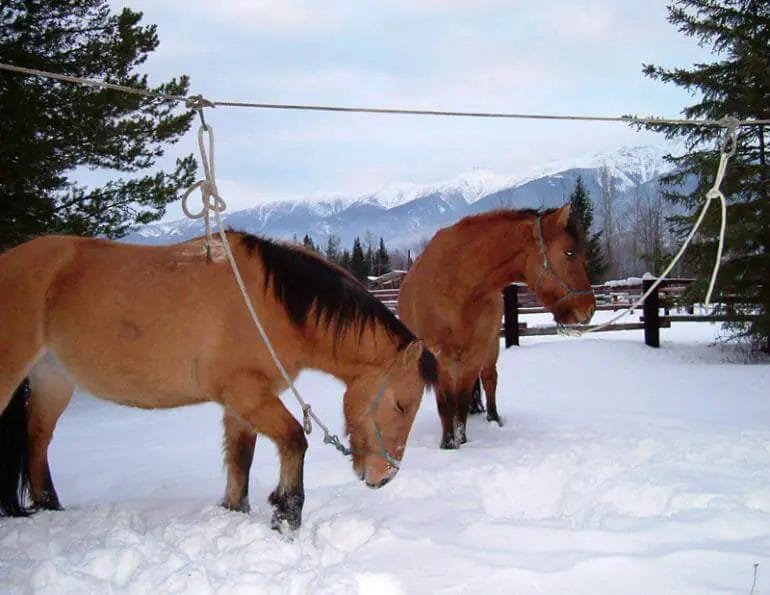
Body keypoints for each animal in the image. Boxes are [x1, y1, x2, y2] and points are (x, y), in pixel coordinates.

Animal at [0, 233, 436, 532]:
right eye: (401, 405)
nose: (384, 477)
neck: (270, 305)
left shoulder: (240, 404)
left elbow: (241, 461)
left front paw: (236, 511)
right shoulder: (248, 395)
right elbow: (295, 440)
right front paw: (286, 513)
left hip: (53, 380)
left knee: (37, 442)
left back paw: (49, 508)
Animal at [396, 207, 592, 450]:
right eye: (569, 253)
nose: (589, 308)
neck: (458, 284)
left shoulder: (474, 356)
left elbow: (461, 401)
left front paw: (462, 441)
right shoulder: (438, 356)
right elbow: (446, 403)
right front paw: (448, 444)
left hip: (490, 349)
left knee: (490, 380)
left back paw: (493, 418)